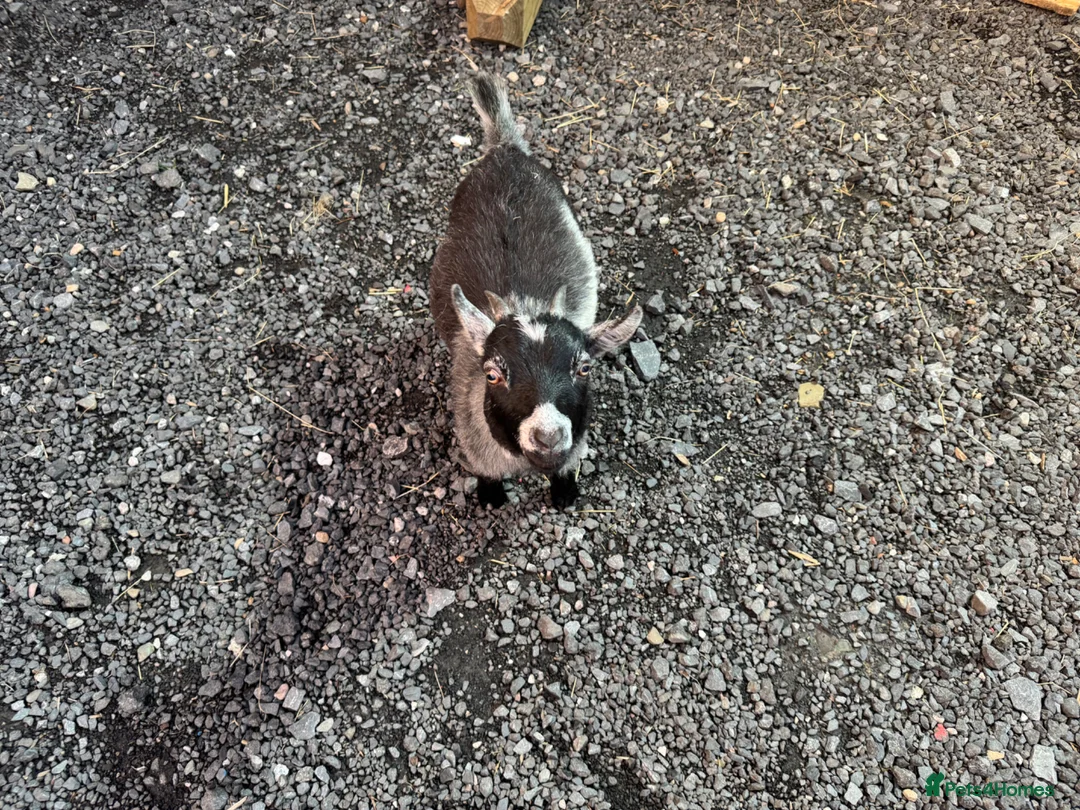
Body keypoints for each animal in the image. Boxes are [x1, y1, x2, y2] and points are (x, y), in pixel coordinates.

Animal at [429, 73, 642, 509]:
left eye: (584, 367)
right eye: (492, 374)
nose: (548, 436)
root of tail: (504, 148)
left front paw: (565, 494)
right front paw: (491, 498)